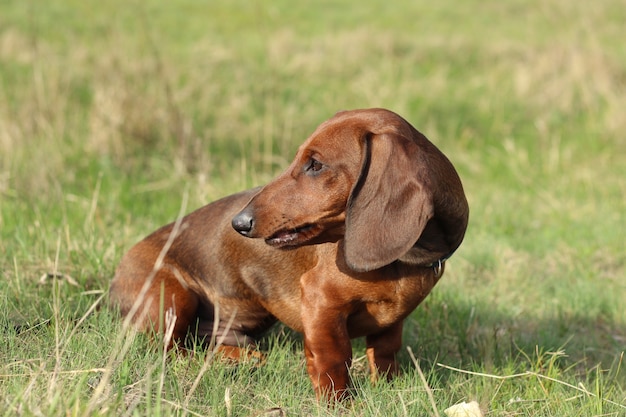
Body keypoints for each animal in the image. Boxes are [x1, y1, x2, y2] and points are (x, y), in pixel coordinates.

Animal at [108, 107, 468, 400]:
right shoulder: (321, 301)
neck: (402, 263)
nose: (239, 222)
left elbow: (384, 352)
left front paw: (388, 388)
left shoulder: (391, 322)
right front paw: (339, 403)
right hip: (172, 298)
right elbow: (333, 358)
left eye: (315, 164)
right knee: (169, 349)